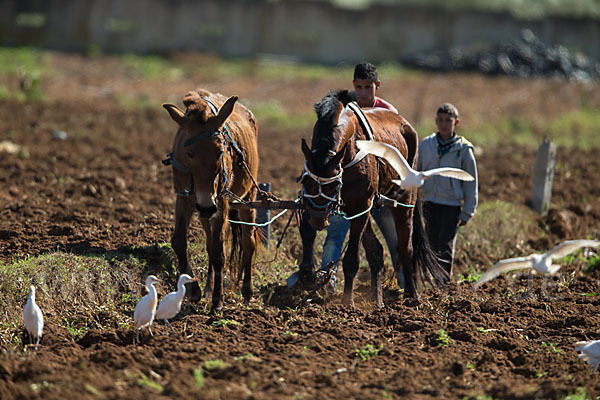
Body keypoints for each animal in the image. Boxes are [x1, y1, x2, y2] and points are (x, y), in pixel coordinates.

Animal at [163, 88, 258, 312]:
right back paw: (207, 287)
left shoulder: (221, 203)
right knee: (209, 241)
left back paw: (247, 291)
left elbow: (218, 254)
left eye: (219, 152)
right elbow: (179, 242)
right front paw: (194, 289)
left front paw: (218, 300)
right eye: (189, 153)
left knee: (248, 243)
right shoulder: (184, 198)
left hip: (247, 198)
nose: (206, 205)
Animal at [298, 89, 448, 304]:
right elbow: (306, 230)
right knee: (376, 250)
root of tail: (405, 124)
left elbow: (352, 258)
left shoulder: (361, 205)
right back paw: (377, 300)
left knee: (405, 248)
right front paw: (307, 273)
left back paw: (411, 295)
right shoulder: (315, 201)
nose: (319, 219)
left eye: (334, 184)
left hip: (404, 199)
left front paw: (347, 302)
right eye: (307, 182)